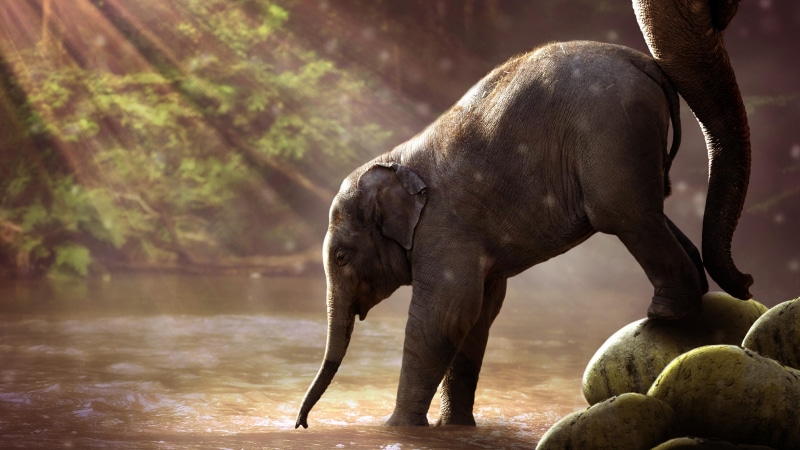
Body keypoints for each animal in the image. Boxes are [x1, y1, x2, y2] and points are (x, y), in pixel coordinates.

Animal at [295, 40, 713, 429]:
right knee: (651, 211)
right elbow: (479, 314)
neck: (395, 160)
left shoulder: (444, 227)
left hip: (612, 130)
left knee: (624, 214)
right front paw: (455, 428)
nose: (301, 423)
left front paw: (397, 429)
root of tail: (642, 61)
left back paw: (665, 312)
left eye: (341, 257)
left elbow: (446, 313)